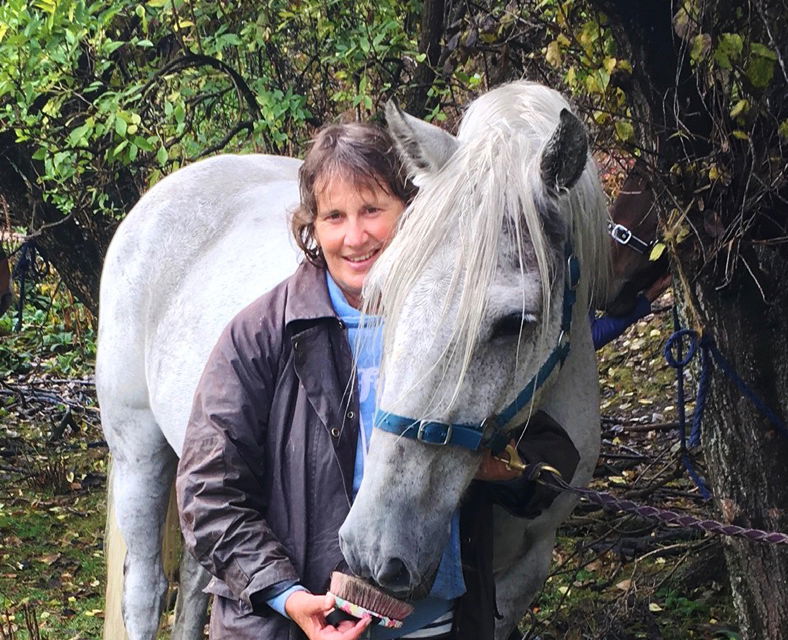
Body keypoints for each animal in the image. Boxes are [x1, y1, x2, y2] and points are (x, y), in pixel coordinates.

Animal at [96, 80, 610, 640]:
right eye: (384, 292)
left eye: (515, 322)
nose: (373, 549)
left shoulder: (523, 575)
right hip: (139, 450)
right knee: (147, 588)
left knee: (195, 578)